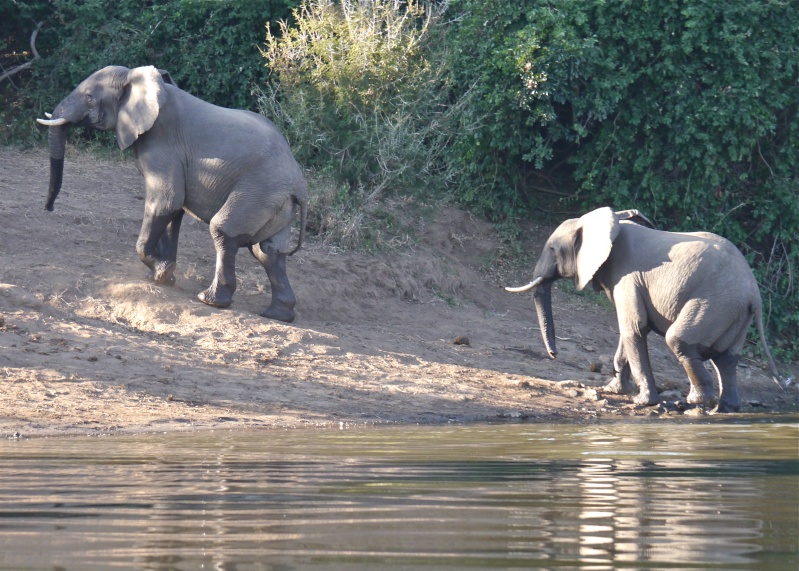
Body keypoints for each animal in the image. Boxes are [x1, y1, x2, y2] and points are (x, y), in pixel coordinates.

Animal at [39, 65, 310, 324]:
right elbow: (174, 211)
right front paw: (161, 278)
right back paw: (277, 315)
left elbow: (166, 202)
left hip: (258, 190)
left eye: (89, 97)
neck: (136, 78)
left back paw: (210, 300)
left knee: (224, 231)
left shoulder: (162, 144)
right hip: (274, 201)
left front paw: (161, 274)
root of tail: (300, 185)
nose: (49, 208)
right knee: (268, 252)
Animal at [506, 208, 780, 414]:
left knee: (680, 341)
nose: (554, 354)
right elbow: (629, 332)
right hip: (735, 313)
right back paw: (723, 410)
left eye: (552, 250)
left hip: (715, 303)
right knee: (726, 358)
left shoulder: (628, 276)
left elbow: (634, 328)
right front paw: (614, 390)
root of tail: (755, 295)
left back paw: (695, 401)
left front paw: (642, 402)